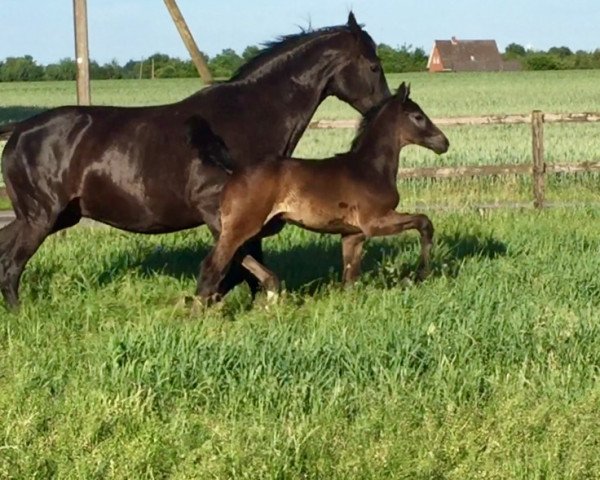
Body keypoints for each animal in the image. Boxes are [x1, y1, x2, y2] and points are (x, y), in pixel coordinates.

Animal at [0, 15, 390, 310]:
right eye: (373, 66)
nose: (386, 109)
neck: (246, 119)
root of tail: (19, 130)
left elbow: (242, 267)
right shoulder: (219, 213)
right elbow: (237, 266)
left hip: (52, 216)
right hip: (41, 216)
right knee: (11, 264)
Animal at [195, 80, 448, 302]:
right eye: (418, 116)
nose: (444, 143)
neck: (369, 168)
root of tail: (233, 175)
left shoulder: (353, 235)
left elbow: (350, 279)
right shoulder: (374, 222)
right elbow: (424, 222)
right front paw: (421, 273)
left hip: (257, 226)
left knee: (238, 256)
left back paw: (271, 290)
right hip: (243, 225)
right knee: (213, 265)